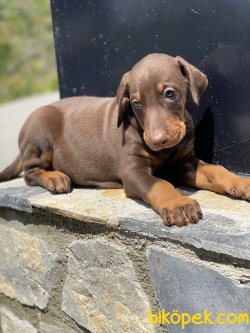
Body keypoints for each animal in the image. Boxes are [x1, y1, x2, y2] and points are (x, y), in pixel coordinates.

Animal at [0, 53, 250, 226]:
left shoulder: (184, 163)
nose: (158, 140)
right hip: (39, 131)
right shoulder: (133, 171)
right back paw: (55, 177)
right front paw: (178, 203)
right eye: (136, 103)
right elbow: (160, 184)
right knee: (30, 173)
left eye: (169, 93)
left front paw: (241, 183)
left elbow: (216, 170)